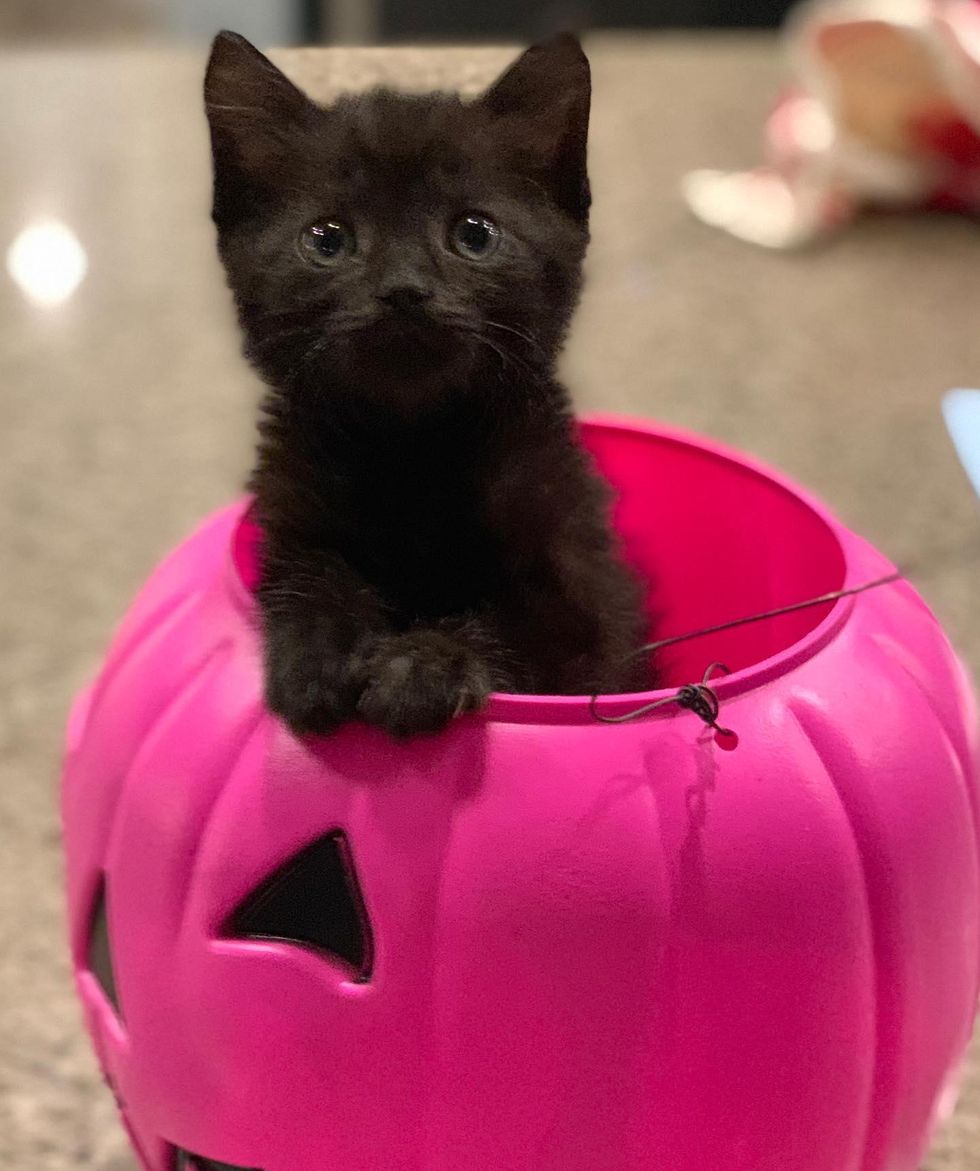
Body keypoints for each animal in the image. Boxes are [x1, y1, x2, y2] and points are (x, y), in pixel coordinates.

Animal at [204, 34, 650, 740]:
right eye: (326, 239)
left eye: (474, 233)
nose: (404, 288)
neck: (412, 447)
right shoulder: (293, 518)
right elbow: (310, 576)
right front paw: (318, 659)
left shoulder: (587, 589)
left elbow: (515, 623)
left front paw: (423, 666)